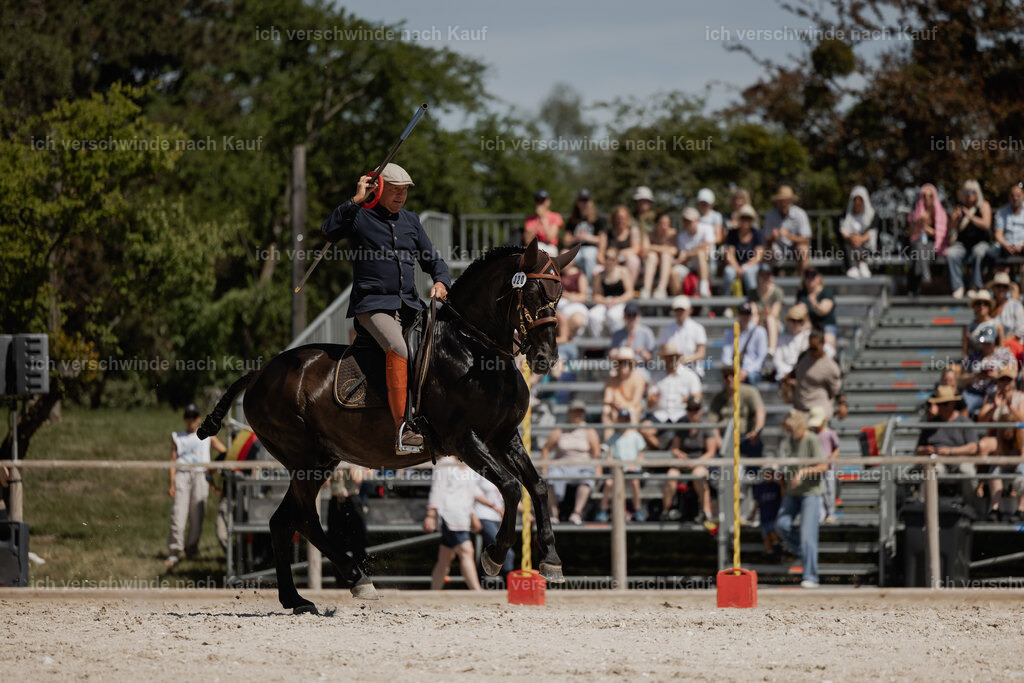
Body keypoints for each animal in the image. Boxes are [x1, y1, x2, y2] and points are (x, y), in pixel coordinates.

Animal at [198, 239, 580, 613]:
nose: (546, 357)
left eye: (558, 295)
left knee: (282, 522)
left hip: (321, 460)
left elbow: (538, 485)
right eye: (532, 293)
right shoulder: (465, 440)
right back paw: (357, 579)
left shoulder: (504, 437)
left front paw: (551, 561)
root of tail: (258, 374)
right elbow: (512, 487)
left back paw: (296, 599)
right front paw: (494, 556)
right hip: (305, 459)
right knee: (305, 519)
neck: (474, 350)